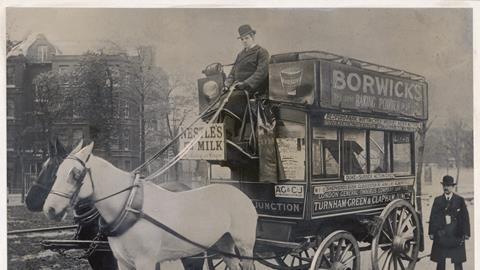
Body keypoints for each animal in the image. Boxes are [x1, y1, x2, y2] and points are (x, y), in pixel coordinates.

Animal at [43, 142, 256, 268]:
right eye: (56, 172)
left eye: (75, 174)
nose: (49, 209)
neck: (130, 206)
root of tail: (241, 194)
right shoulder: (122, 262)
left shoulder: (145, 261)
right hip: (224, 243)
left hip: (244, 245)